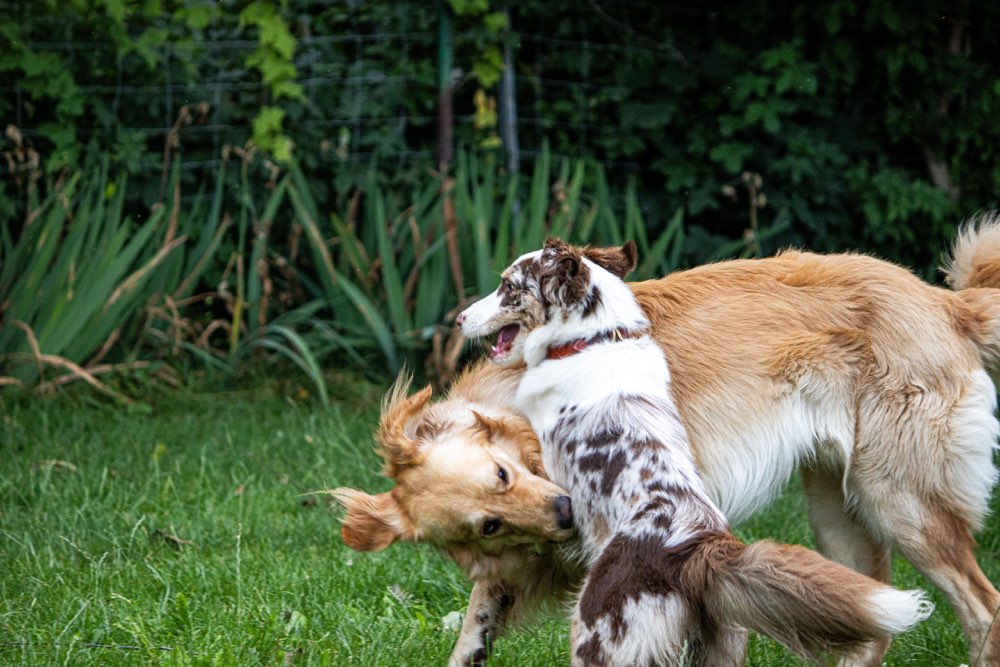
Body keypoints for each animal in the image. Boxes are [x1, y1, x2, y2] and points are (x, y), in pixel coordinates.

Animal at [335, 216, 1000, 666]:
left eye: (501, 475)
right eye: (484, 528)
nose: (456, 319)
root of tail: (947, 302)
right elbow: (473, 630)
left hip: (900, 501)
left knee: (983, 606)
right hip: (836, 516)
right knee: (871, 627)